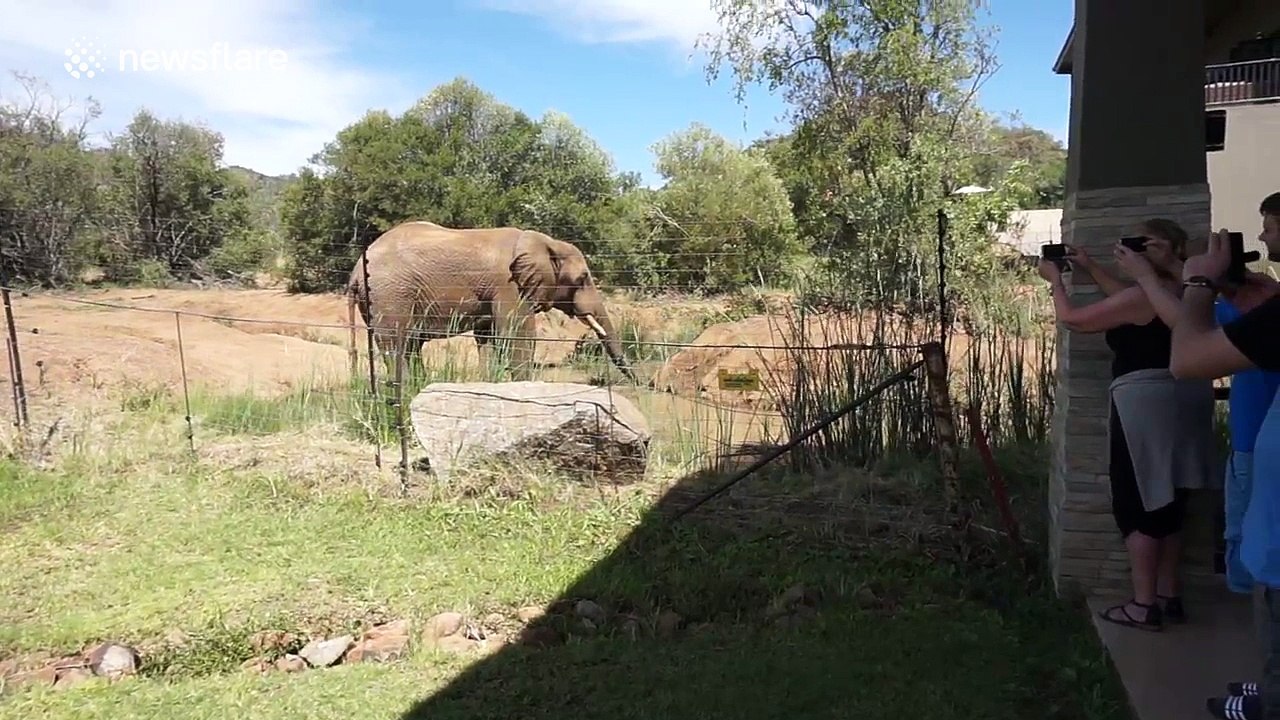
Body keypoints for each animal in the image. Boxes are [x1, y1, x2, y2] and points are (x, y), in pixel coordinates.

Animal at [345, 220, 638, 384]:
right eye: (582, 278)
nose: (640, 383)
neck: (545, 242)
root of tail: (355, 271)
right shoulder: (508, 285)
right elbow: (518, 335)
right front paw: (523, 388)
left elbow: (487, 337)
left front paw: (489, 384)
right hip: (391, 294)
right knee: (398, 344)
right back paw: (406, 392)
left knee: (411, 345)